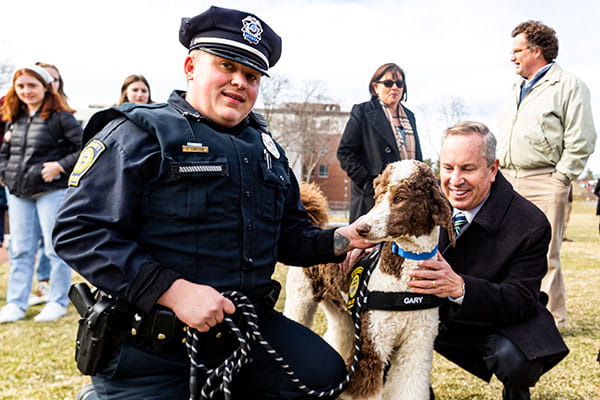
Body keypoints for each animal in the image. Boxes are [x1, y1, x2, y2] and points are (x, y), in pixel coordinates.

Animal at [284, 160, 452, 400]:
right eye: (378, 195)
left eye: (399, 198)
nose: (361, 228)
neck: (401, 281)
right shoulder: (372, 347)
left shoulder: (417, 347)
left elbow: (408, 386)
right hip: (301, 299)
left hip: (343, 316)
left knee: (336, 336)